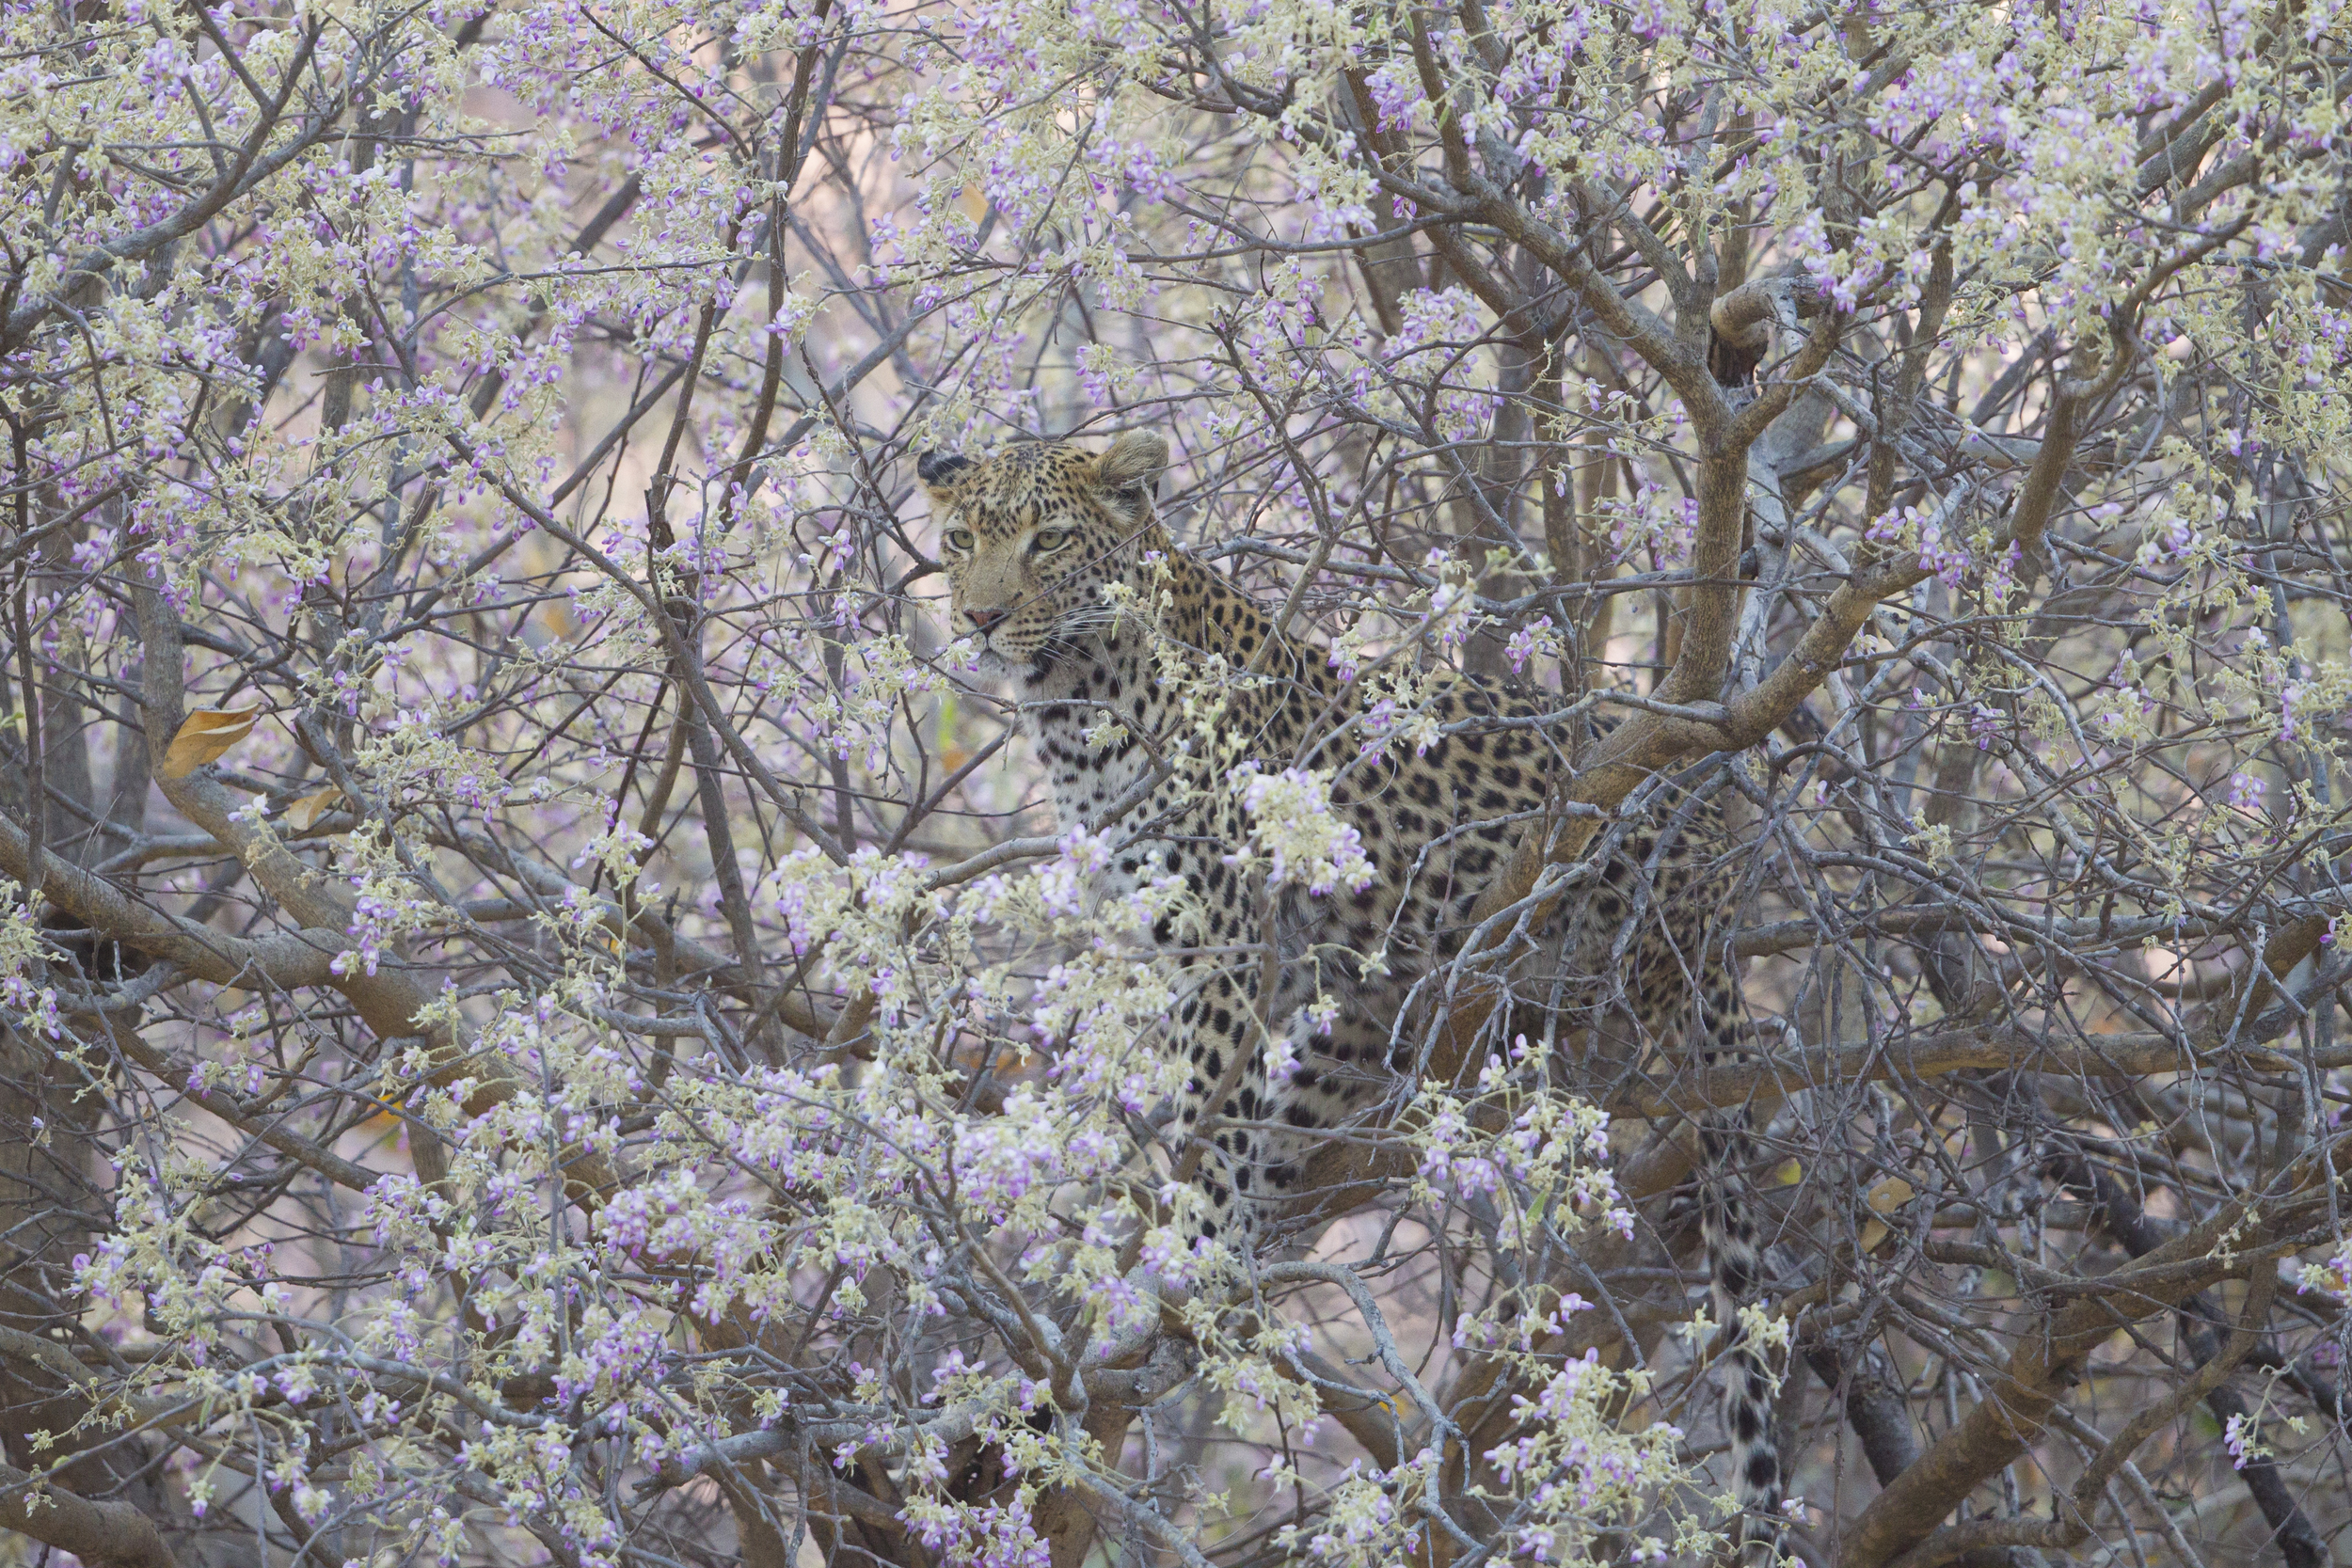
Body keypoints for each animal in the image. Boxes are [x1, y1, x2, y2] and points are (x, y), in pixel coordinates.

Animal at [917, 430, 1778, 1560]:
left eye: (1048, 539)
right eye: (960, 540)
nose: (979, 615)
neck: (1076, 703)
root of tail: (1721, 866)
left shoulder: (1225, 943)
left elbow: (1206, 1126)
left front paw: (1184, 1264)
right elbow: (1218, 1128)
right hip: (1355, 1018)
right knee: (1298, 1122)